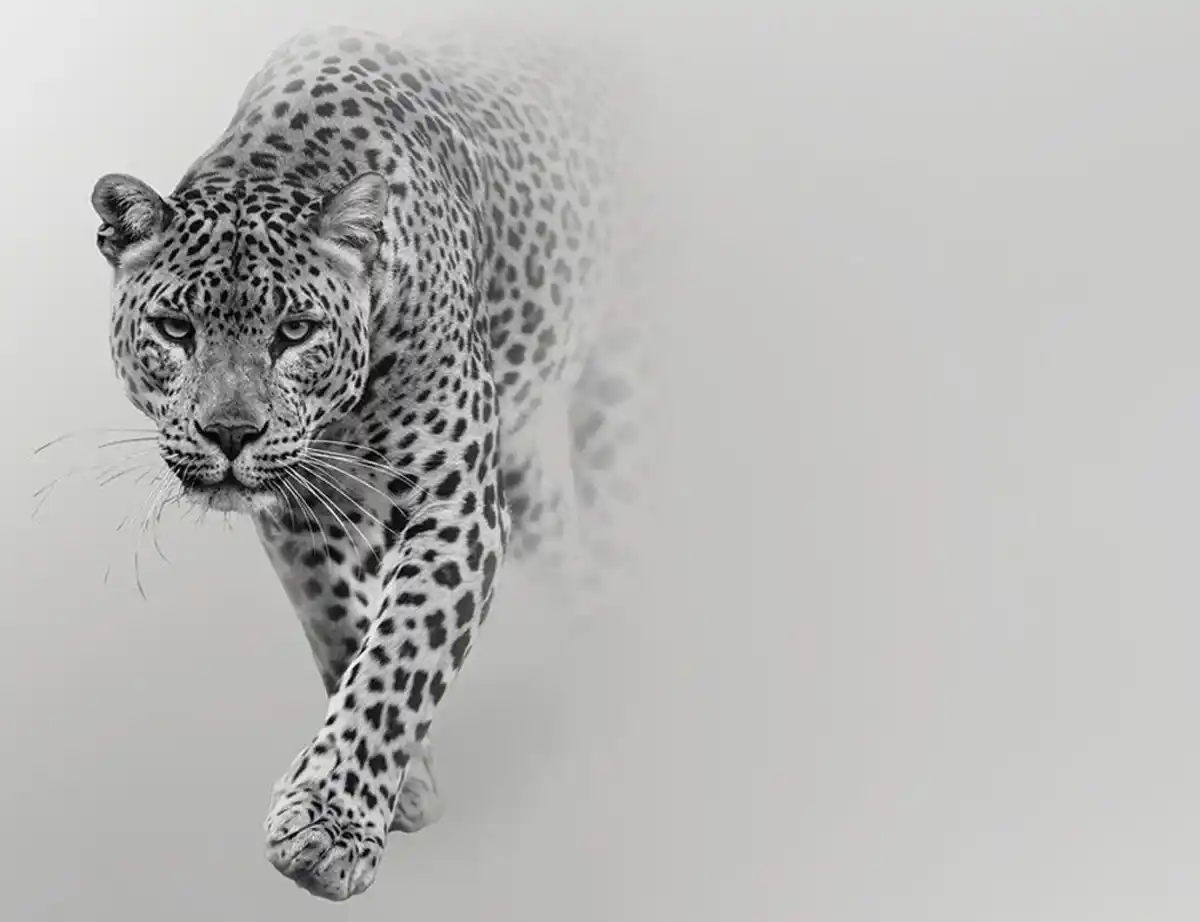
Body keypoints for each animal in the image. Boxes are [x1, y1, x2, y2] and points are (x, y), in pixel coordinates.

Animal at [90, 23, 651, 902]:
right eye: (176, 329)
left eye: (295, 332)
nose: (230, 433)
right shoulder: (301, 516)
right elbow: (343, 630)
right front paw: (404, 785)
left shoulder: (457, 511)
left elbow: (401, 655)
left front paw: (329, 828)